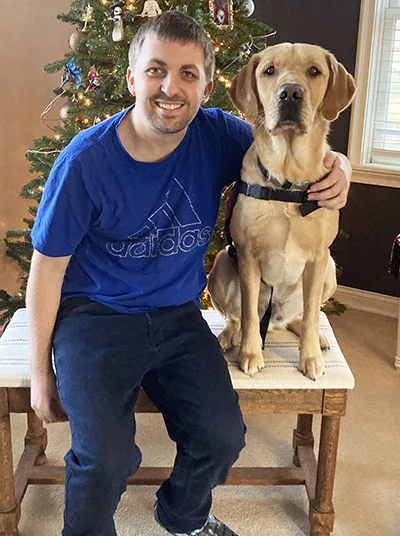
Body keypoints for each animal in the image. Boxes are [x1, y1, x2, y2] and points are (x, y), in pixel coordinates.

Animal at [208, 45, 354, 382]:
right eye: (269, 71)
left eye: (314, 71)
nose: (290, 93)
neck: (288, 178)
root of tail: (273, 321)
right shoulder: (248, 254)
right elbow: (249, 314)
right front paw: (250, 354)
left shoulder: (318, 257)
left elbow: (312, 313)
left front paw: (310, 358)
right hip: (220, 264)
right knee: (236, 317)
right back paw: (228, 337)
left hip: (330, 269)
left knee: (301, 316)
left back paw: (311, 335)